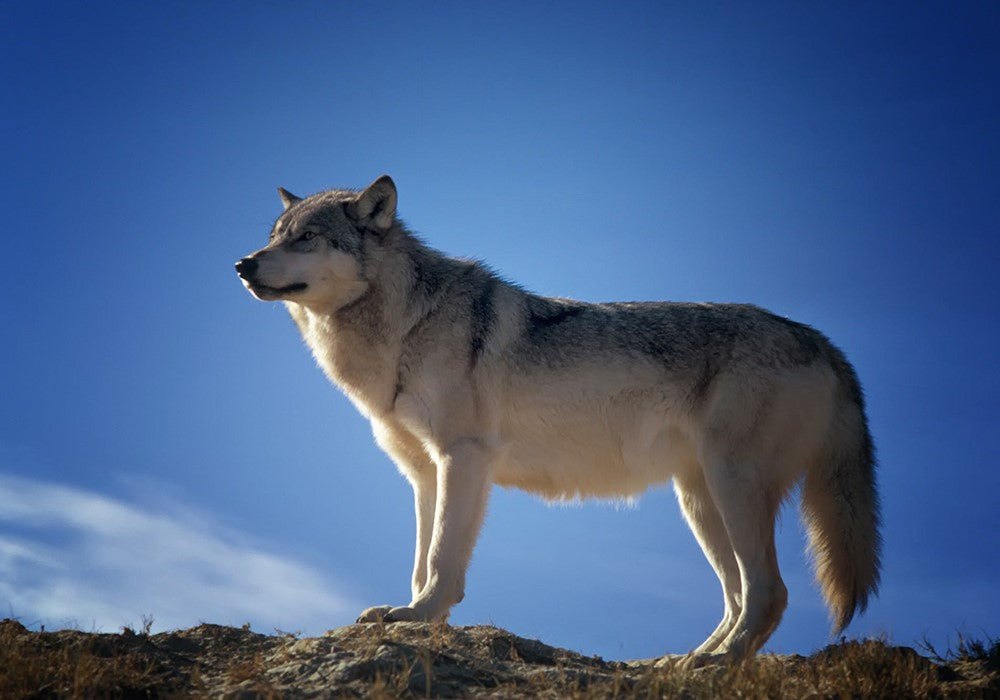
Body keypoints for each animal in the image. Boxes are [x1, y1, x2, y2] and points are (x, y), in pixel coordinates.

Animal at [235, 175, 880, 664]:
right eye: (274, 237)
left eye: (307, 239)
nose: (242, 264)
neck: (407, 325)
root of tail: (824, 342)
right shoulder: (423, 474)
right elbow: (420, 561)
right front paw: (414, 617)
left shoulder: (463, 458)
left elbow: (442, 559)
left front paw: (420, 617)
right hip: (699, 502)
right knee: (738, 596)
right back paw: (687, 661)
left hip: (732, 488)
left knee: (769, 593)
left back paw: (718, 665)